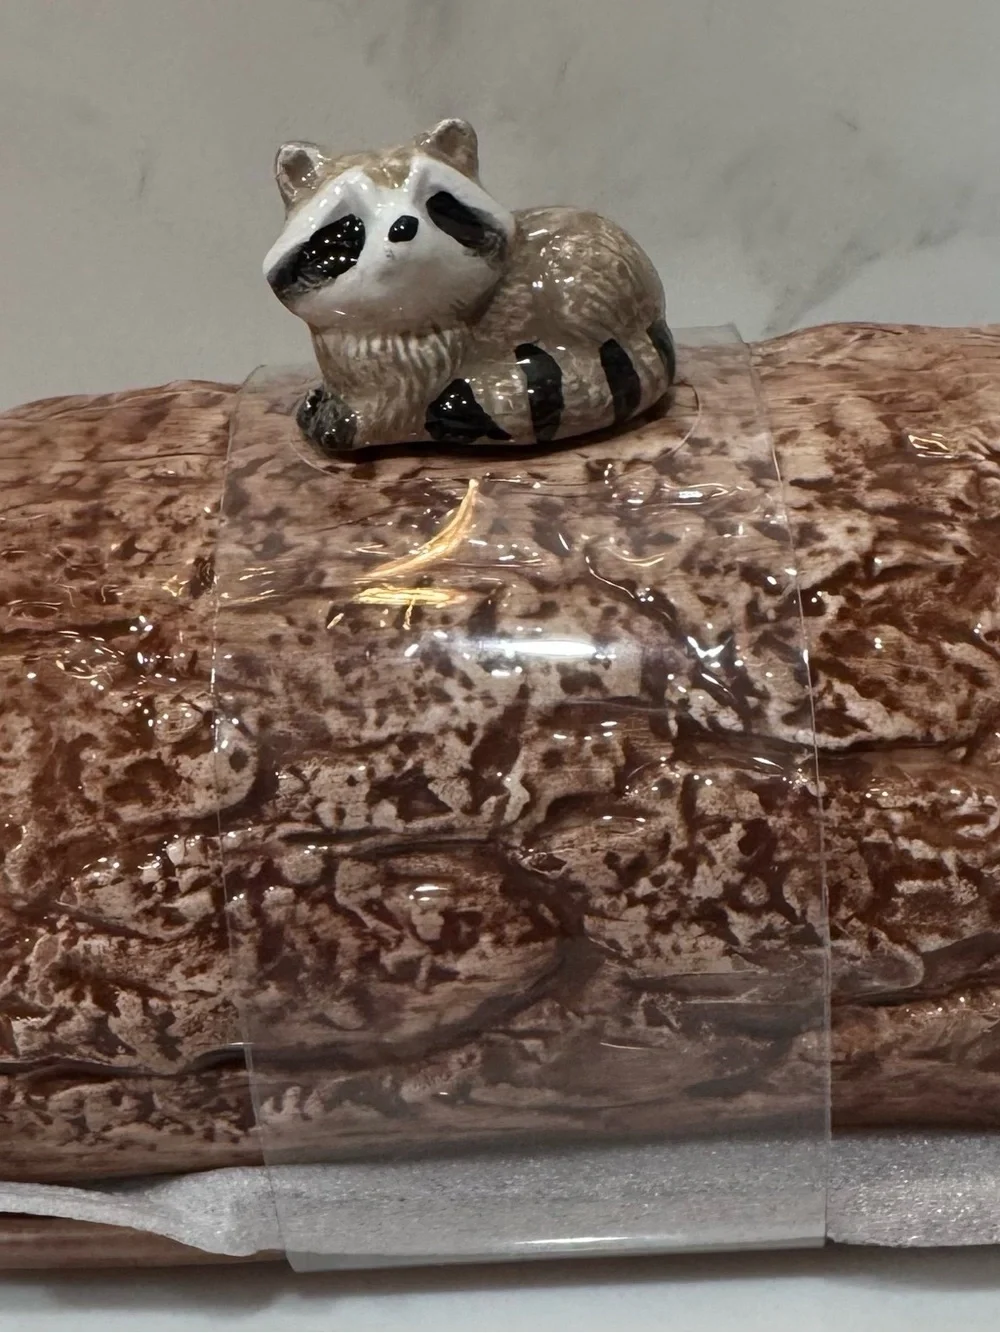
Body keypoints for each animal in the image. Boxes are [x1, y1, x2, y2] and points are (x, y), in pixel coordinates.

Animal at [263, 118, 675, 452]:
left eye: (437, 204)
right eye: (350, 225)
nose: (403, 226)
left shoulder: (420, 371)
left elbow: (389, 413)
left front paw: (345, 420)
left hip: (581, 276)